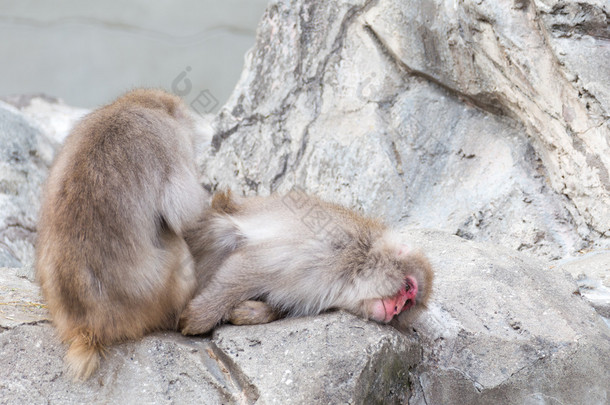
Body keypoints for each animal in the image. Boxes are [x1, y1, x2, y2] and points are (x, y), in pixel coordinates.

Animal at [180, 189, 432, 334]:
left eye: (408, 304)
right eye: (407, 287)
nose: (397, 308)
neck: (356, 269)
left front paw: (253, 311)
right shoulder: (329, 249)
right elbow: (250, 265)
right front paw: (197, 318)